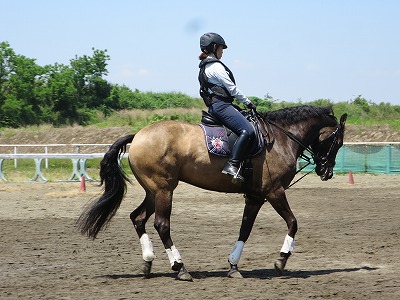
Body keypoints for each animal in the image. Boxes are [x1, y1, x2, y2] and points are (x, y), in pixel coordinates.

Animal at [77, 105, 346, 282]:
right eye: (338, 142)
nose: (326, 172)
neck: (280, 139)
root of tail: (140, 135)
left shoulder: (256, 197)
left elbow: (245, 229)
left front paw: (233, 266)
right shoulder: (274, 191)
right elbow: (293, 222)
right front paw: (281, 260)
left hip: (153, 191)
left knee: (138, 218)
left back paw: (148, 261)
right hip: (164, 190)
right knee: (162, 224)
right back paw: (180, 267)